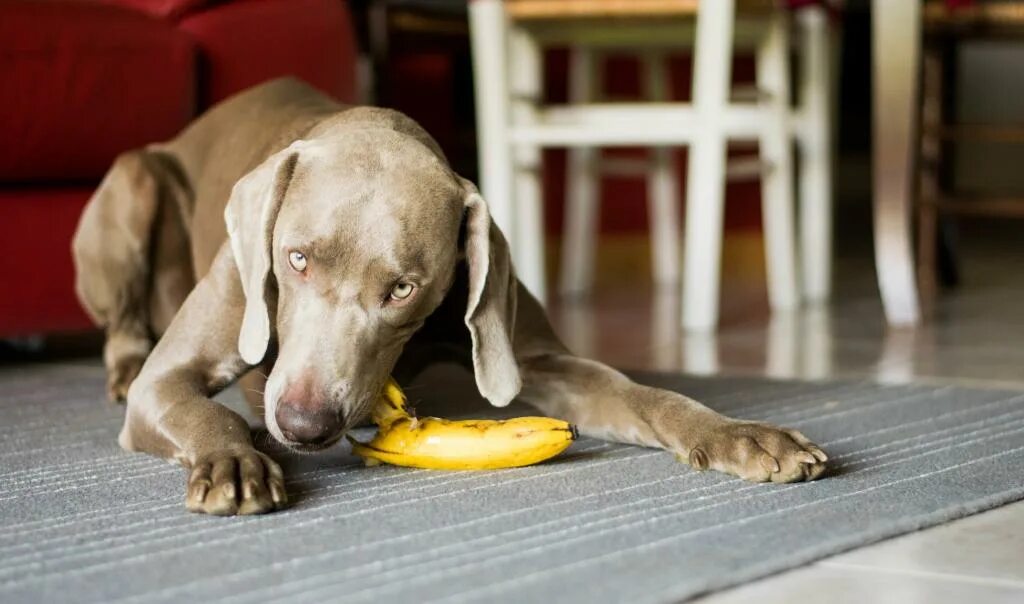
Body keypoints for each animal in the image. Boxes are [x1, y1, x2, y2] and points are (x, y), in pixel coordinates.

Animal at [72, 78, 827, 518]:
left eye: (402, 289)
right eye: (296, 259)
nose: (304, 425)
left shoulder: (532, 349)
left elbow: (644, 394)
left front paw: (738, 435)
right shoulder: (172, 378)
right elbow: (202, 410)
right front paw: (234, 461)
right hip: (134, 182)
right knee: (126, 327)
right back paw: (124, 370)